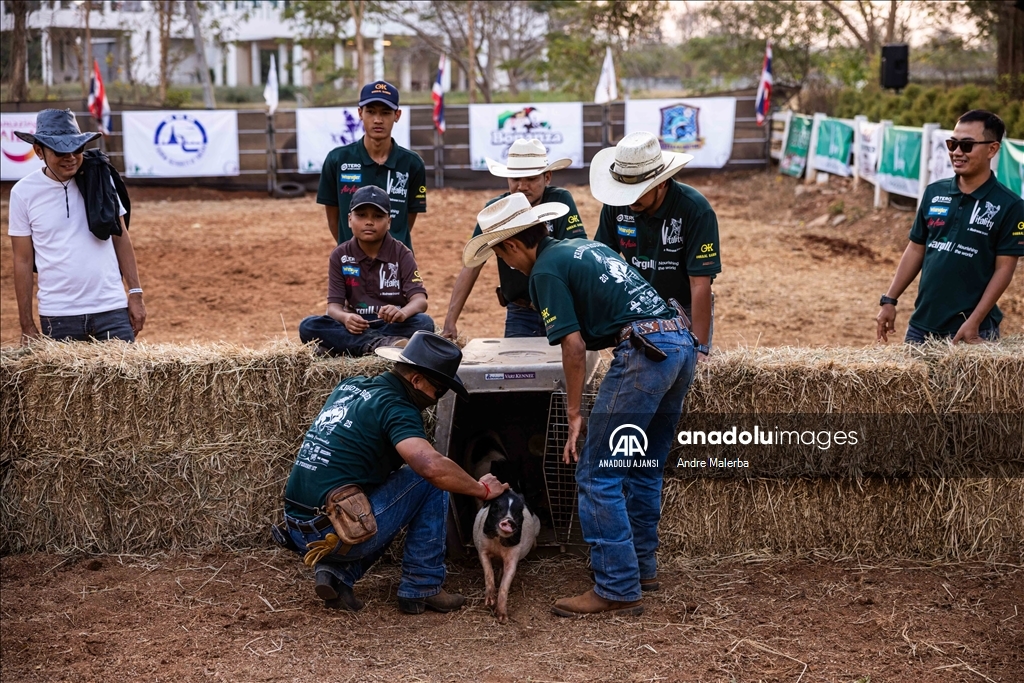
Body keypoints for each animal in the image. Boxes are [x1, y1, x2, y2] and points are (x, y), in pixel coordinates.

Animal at [471, 489, 540, 622]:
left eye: (518, 511)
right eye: (497, 507)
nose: (509, 520)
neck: (498, 544)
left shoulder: (513, 555)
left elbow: (505, 583)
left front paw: (502, 618)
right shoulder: (483, 549)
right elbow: (488, 572)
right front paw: (489, 602)